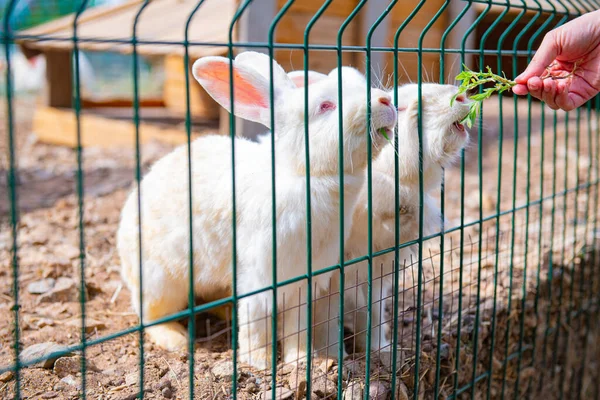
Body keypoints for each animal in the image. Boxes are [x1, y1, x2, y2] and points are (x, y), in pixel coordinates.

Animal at [117, 52, 398, 368]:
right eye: (325, 106)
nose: (386, 101)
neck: (306, 174)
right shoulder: (260, 277)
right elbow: (256, 323)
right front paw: (260, 362)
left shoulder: (304, 284)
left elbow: (297, 326)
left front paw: (301, 360)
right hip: (160, 283)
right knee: (152, 316)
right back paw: (176, 339)